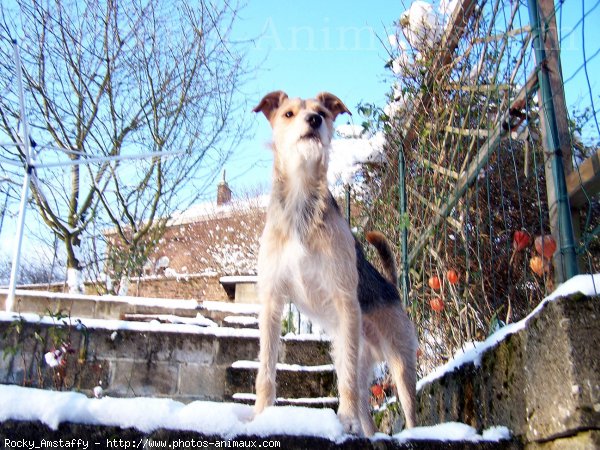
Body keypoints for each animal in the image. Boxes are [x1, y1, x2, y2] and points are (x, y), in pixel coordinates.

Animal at [251, 91, 414, 436]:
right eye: (288, 113)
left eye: (323, 112)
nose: (314, 121)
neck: (301, 205)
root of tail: (392, 289)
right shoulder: (272, 301)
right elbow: (266, 371)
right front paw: (260, 415)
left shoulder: (344, 297)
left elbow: (346, 383)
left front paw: (346, 420)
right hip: (355, 357)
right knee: (366, 408)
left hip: (401, 362)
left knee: (407, 411)